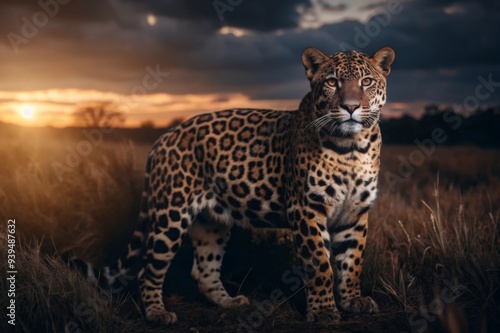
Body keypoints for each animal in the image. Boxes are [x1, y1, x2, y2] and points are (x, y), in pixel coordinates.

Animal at [78, 45, 394, 322]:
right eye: (331, 82)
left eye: (366, 82)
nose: (350, 107)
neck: (351, 149)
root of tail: (163, 138)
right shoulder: (306, 209)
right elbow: (319, 265)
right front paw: (324, 311)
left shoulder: (355, 212)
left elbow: (352, 261)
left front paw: (352, 301)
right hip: (171, 214)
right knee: (148, 270)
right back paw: (157, 313)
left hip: (210, 222)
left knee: (203, 270)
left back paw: (230, 302)